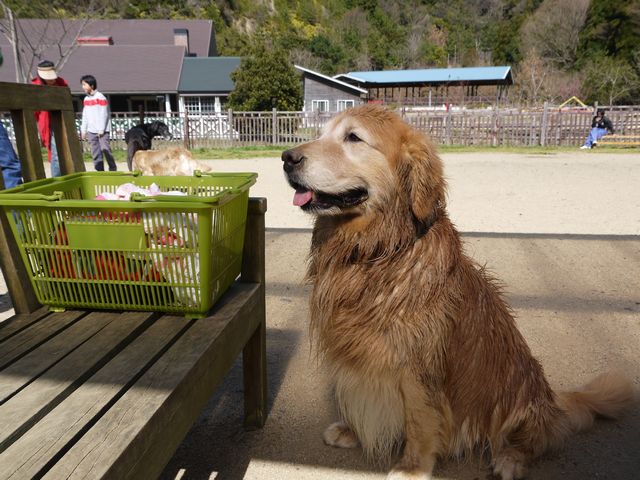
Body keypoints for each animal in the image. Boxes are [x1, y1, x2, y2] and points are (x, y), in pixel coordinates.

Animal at [282, 106, 636, 480]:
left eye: (353, 137)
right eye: (321, 134)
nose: (286, 158)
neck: (375, 251)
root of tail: (554, 401)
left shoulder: (418, 365)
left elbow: (419, 420)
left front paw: (412, 467)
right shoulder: (356, 351)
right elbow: (357, 393)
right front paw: (352, 430)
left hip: (520, 399)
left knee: (537, 440)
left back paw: (511, 458)